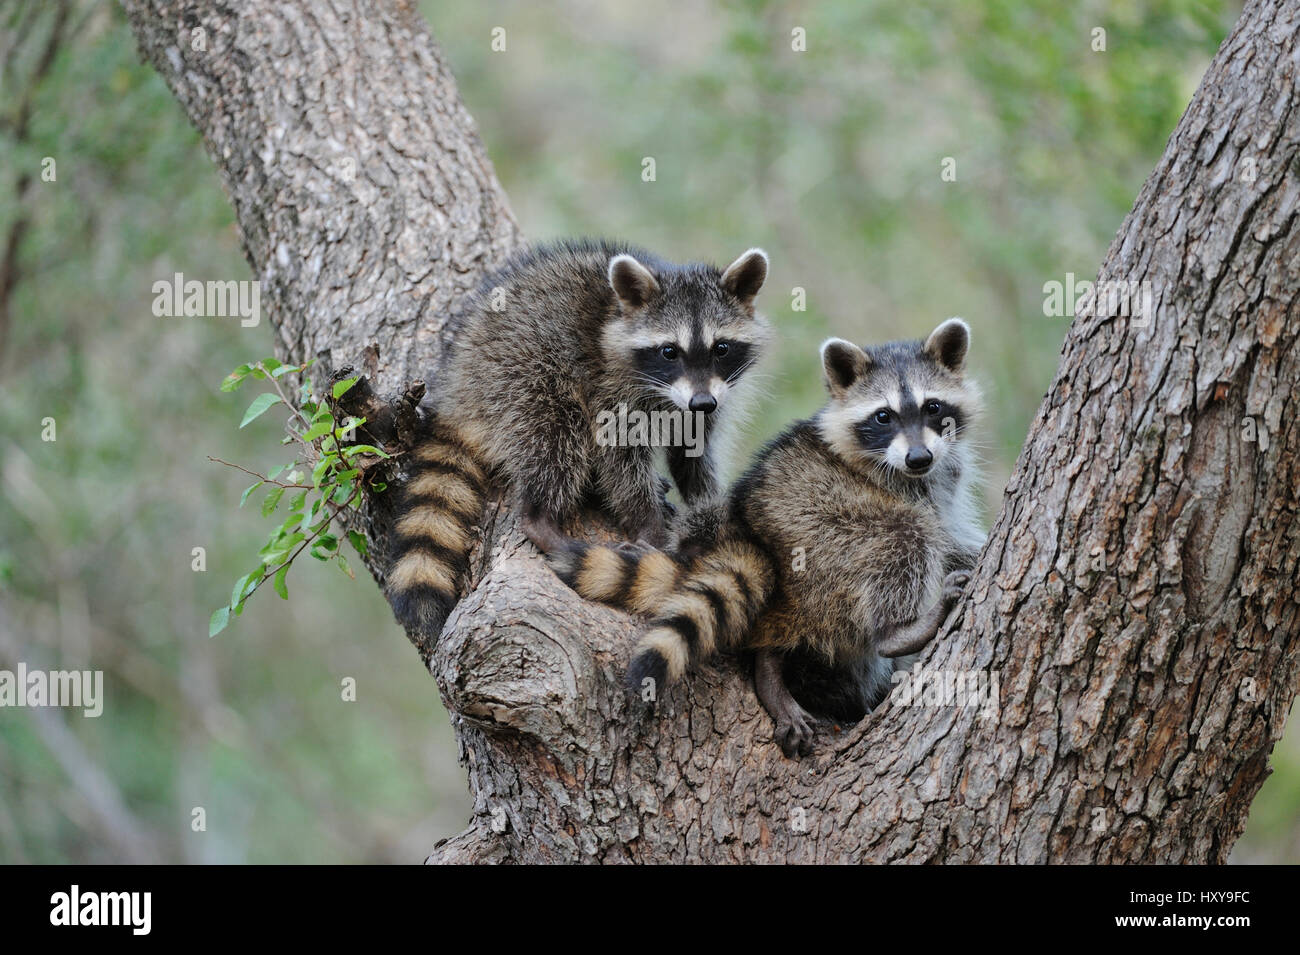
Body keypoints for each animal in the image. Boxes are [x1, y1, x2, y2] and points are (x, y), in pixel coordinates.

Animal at [384, 239, 769, 641]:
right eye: (669, 351)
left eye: (721, 348)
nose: (702, 402)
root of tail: (456, 385)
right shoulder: (610, 385)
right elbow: (617, 455)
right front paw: (648, 525)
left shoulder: (709, 399)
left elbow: (691, 453)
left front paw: (704, 505)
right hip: (516, 373)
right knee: (555, 431)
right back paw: (541, 520)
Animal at [540, 317, 982, 758]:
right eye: (883, 416)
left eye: (932, 407)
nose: (918, 457)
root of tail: (760, 543)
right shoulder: (896, 485)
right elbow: (931, 528)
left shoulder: (941, 475)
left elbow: (953, 529)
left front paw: (970, 551)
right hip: (821, 531)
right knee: (903, 534)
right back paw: (897, 631)